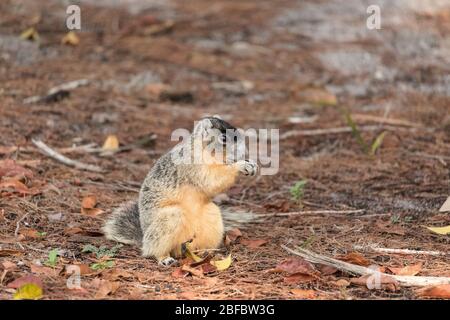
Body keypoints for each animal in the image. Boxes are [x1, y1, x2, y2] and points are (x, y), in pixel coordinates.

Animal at [102, 116, 256, 266]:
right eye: (223, 138)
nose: (244, 152)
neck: (204, 150)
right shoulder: (191, 165)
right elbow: (211, 180)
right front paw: (241, 165)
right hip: (169, 220)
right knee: (153, 249)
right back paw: (164, 258)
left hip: (212, 218)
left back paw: (206, 252)